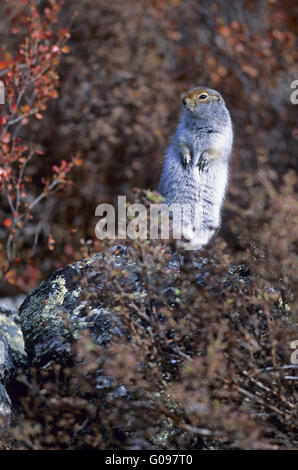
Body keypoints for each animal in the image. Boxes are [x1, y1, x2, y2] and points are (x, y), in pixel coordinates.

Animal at [158, 87, 233, 250]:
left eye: (203, 96)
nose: (183, 101)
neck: (199, 123)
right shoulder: (181, 132)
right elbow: (182, 144)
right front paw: (187, 159)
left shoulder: (220, 137)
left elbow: (213, 150)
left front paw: (203, 161)